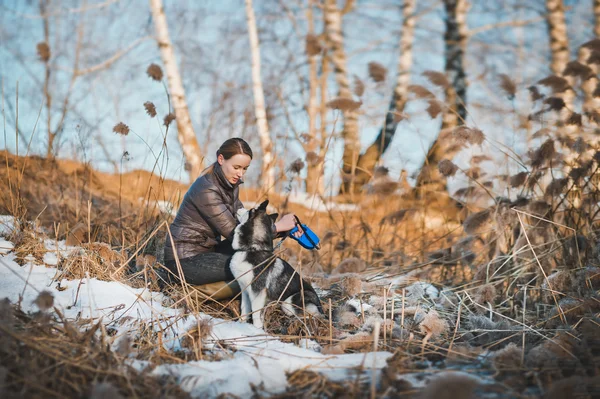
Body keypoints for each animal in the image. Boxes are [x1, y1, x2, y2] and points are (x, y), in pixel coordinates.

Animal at [230, 200, 324, 328]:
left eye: (250, 210)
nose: (238, 208)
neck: (251, 249)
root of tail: (321, 306)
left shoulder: (258, 292)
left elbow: (255, 313)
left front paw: (257, 328)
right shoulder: (244, 289)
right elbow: (244, 310)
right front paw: (241, 325)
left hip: (289, 303)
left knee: (313, 316)